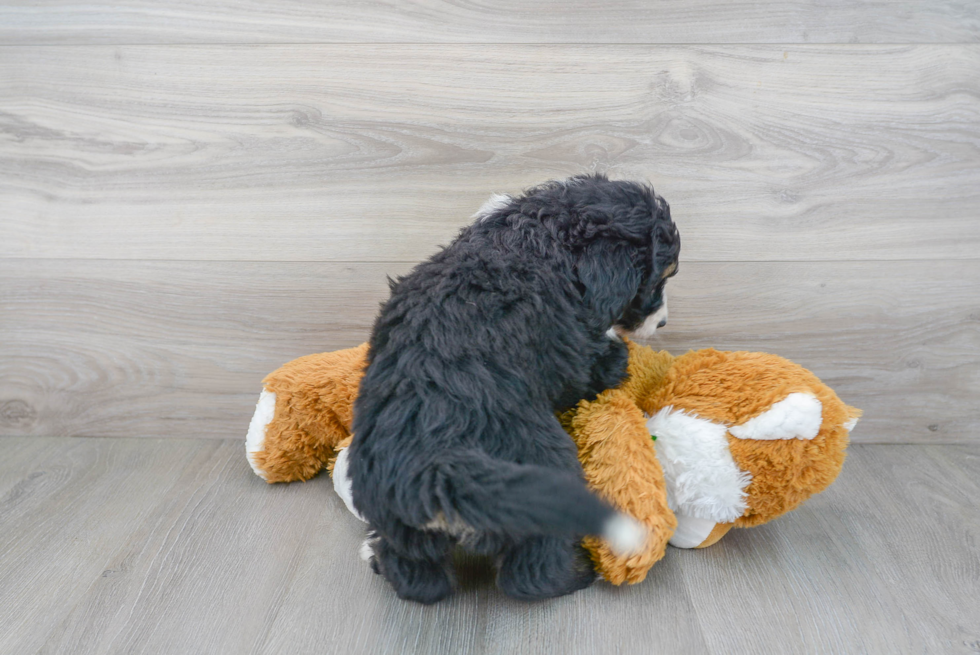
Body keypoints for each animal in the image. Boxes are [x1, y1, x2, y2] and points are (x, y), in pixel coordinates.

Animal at [350, 176, 680, 604]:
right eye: (657, 279)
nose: (663, 323)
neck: (538, 241)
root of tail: (440, 473)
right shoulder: (575, 359)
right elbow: (600, 366)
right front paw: (618, 348)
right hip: (546, 471)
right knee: (530, 574)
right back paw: (581, 572)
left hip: (396, 516)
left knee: (417, 578)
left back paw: (377, 556)